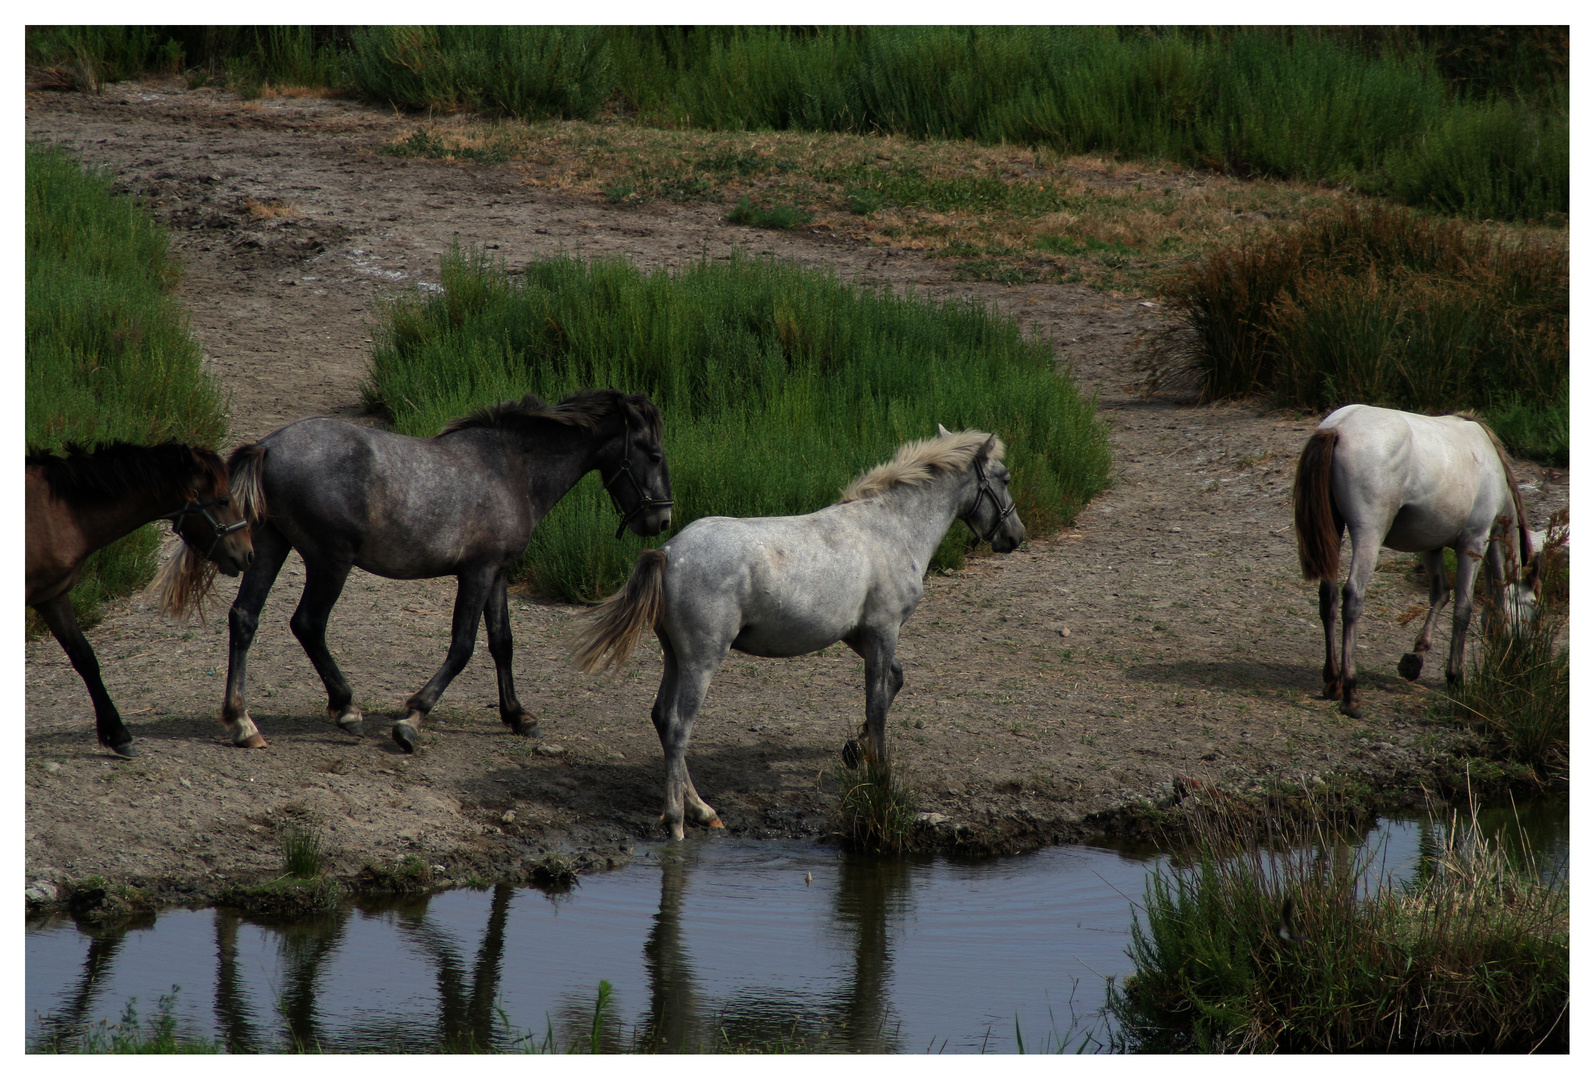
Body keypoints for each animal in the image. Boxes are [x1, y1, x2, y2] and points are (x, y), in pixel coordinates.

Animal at [24, 443, 255, 752]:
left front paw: (118, 734)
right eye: (222, 500)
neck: (54, 513)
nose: (248, 553)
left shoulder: (53, 596)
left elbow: (85, 658)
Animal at [202, 387, 669, 749]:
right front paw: (412, 719)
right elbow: (462, 646)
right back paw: (346, 708)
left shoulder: (497, 573)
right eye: (653, 453)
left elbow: (502, 643)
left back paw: (243, 722)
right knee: (308, 624)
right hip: (330, 561)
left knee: (245, 617)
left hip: (269, 546)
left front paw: (518, 717)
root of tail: (270, 446)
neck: (511, 469)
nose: (662, 519)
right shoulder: (476, 573)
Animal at [567, 424, 1027, 835]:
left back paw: (702, 810)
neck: (892, 529)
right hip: (701, 661)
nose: (1015, 536)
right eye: (1004, 478)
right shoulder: (884, 630)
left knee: (662, 718)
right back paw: (678, 819)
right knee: (679, 727)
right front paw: (878, 772)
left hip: (674, 657)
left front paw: (856, 748)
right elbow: (877, 706)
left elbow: (893, 683)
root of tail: (666, 552)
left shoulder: (860, 634)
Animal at [1295, 405, 1543, 714]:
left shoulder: (1430, 543)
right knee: (1352, 596)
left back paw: (1332, 681)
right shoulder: (1473, 543)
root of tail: (1338, 427)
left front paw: (1416, 657)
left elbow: (1440, 594)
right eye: (1533, 604)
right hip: (1369, 533)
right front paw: (1455, 676)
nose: (1521, 659)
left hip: (1333, 530)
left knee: (1328, 598)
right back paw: (1350, 692)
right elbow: (1463, 609)